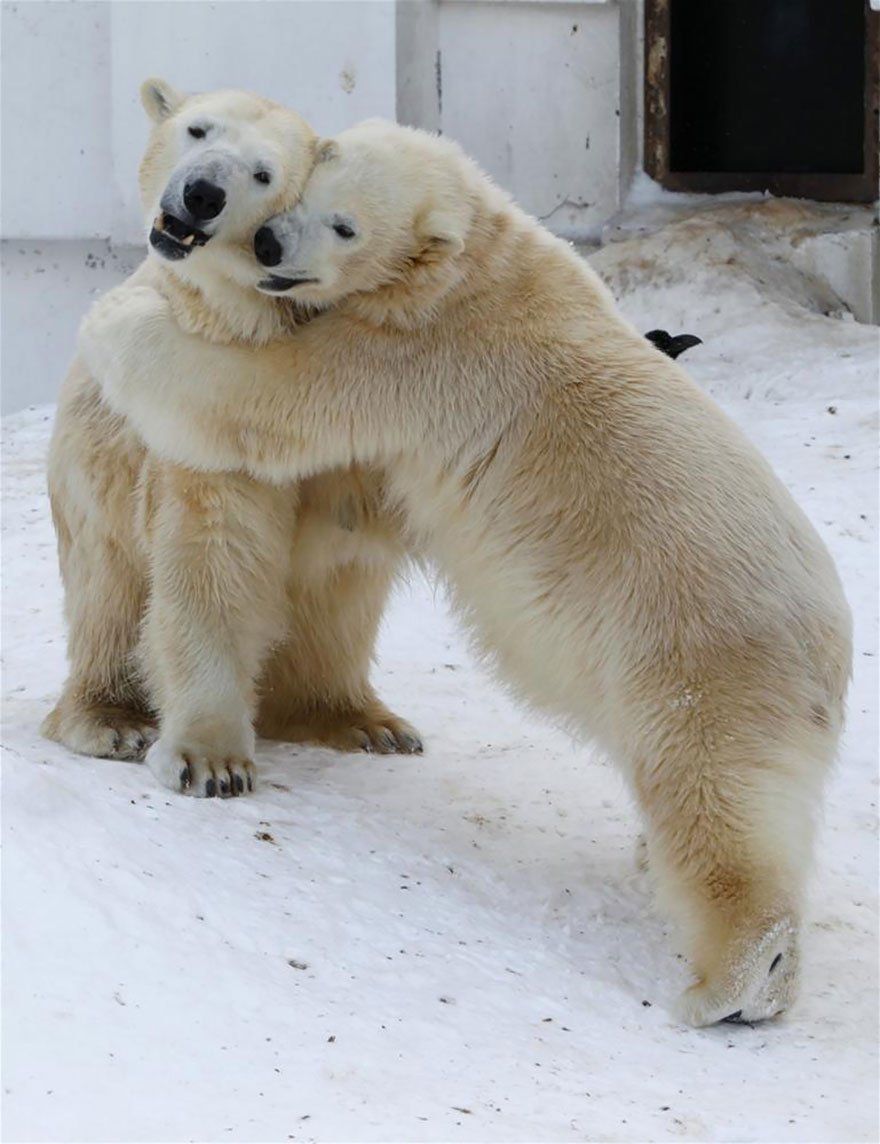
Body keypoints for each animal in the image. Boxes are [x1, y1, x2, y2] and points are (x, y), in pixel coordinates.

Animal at [42, 84, 421, 796]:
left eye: (264, 174)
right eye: (197, 130)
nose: (201, 193)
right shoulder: (198, 404)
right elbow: (213, 552)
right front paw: (209, 760)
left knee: (340, 603)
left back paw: (365, 721)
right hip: (93, 483)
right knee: (108, 594)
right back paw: (112, 719)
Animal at [78, 118, 846, 1029]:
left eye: (345, 227)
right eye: (308, 184)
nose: (267, 243)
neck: (480, 261)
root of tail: (831, 650)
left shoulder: (413, 360)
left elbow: (263, 399)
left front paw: (116, 317)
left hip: (698, 659)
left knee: (714, 802)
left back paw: (728, 984)